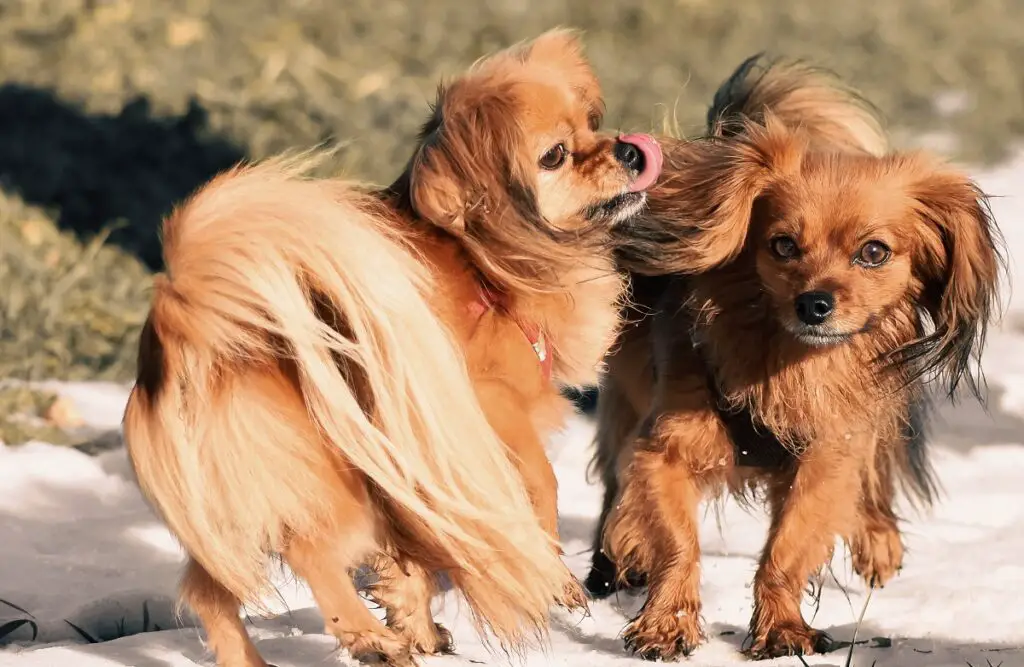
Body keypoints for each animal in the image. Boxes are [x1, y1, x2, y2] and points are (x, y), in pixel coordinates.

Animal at [123, 29, 663, 667]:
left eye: (591, 125)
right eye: (555, 155)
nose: (631, 151)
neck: (486, 264)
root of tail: (183, 334)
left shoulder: (408, 470)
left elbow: (409, 565)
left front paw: (418, 624)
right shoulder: (477, 409)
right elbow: (539, 480)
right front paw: (550, 574)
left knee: (210, 592)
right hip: (333, 486)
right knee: (311, 554)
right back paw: (366, 635)